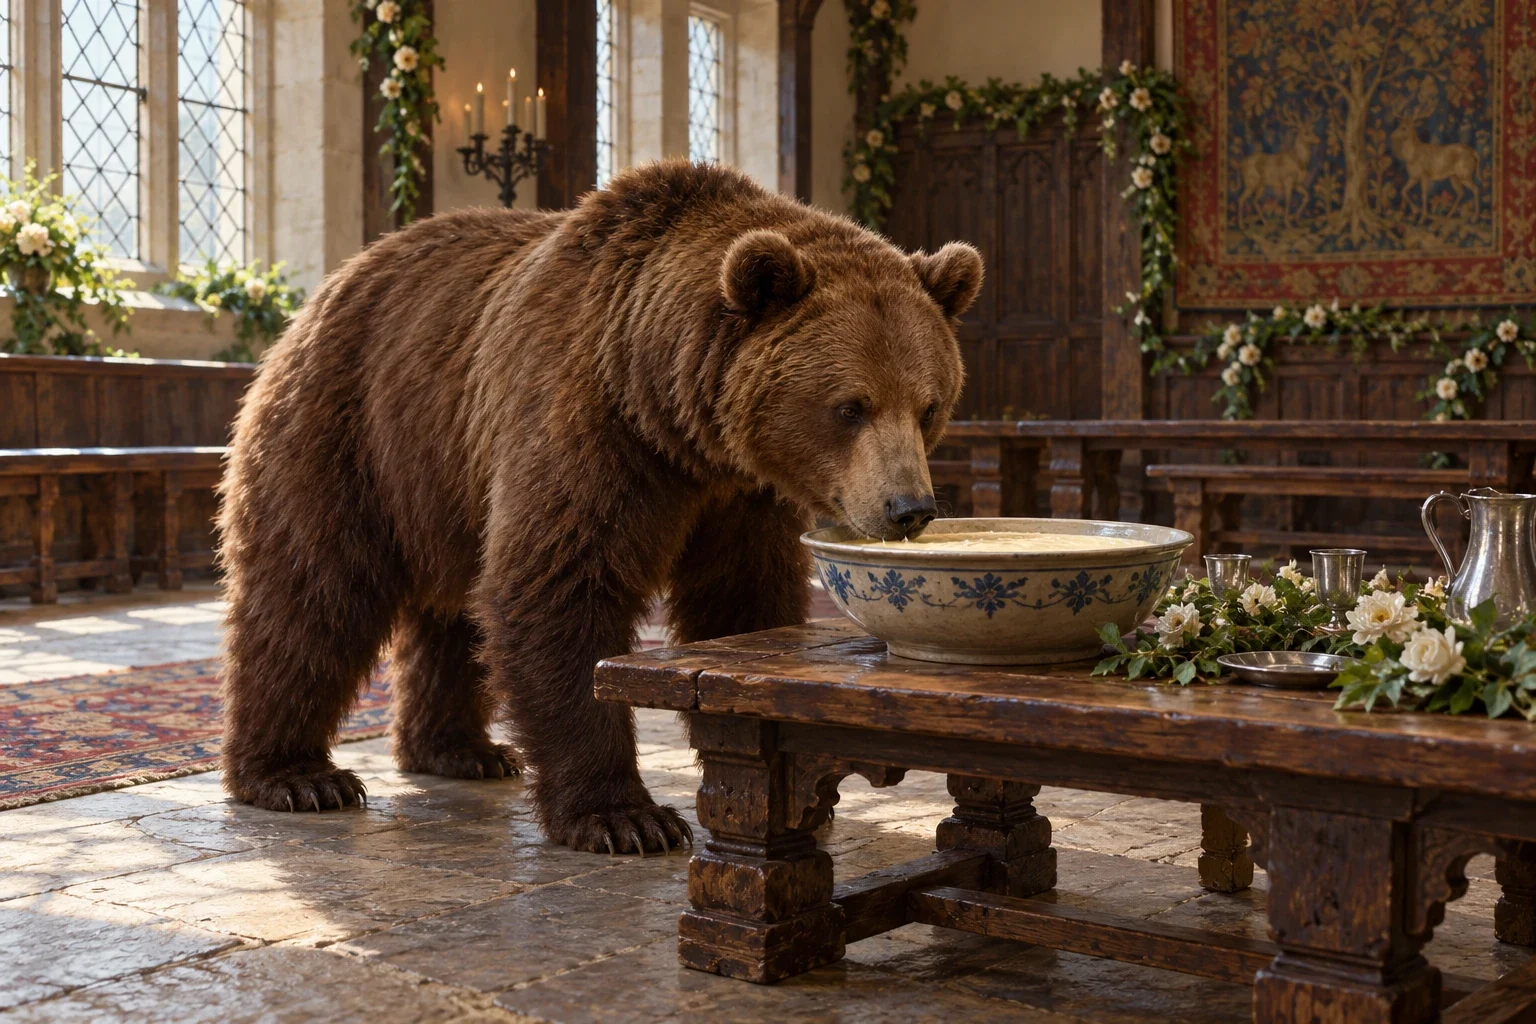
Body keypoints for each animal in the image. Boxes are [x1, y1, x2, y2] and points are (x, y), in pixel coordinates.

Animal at [217, 159, 983, 854]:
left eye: (928, 405)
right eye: (850, 407)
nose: (908, 507)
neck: (671, 413)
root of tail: (331, 285)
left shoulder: (742, 496)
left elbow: (742, 595)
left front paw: (796, 790)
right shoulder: (585, 423)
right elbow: (560, 584)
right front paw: (624, 817)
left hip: (445, 479)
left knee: (452, 608)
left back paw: (460, 749)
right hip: (353, 429)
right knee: (311, 591)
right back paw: (296, 775)